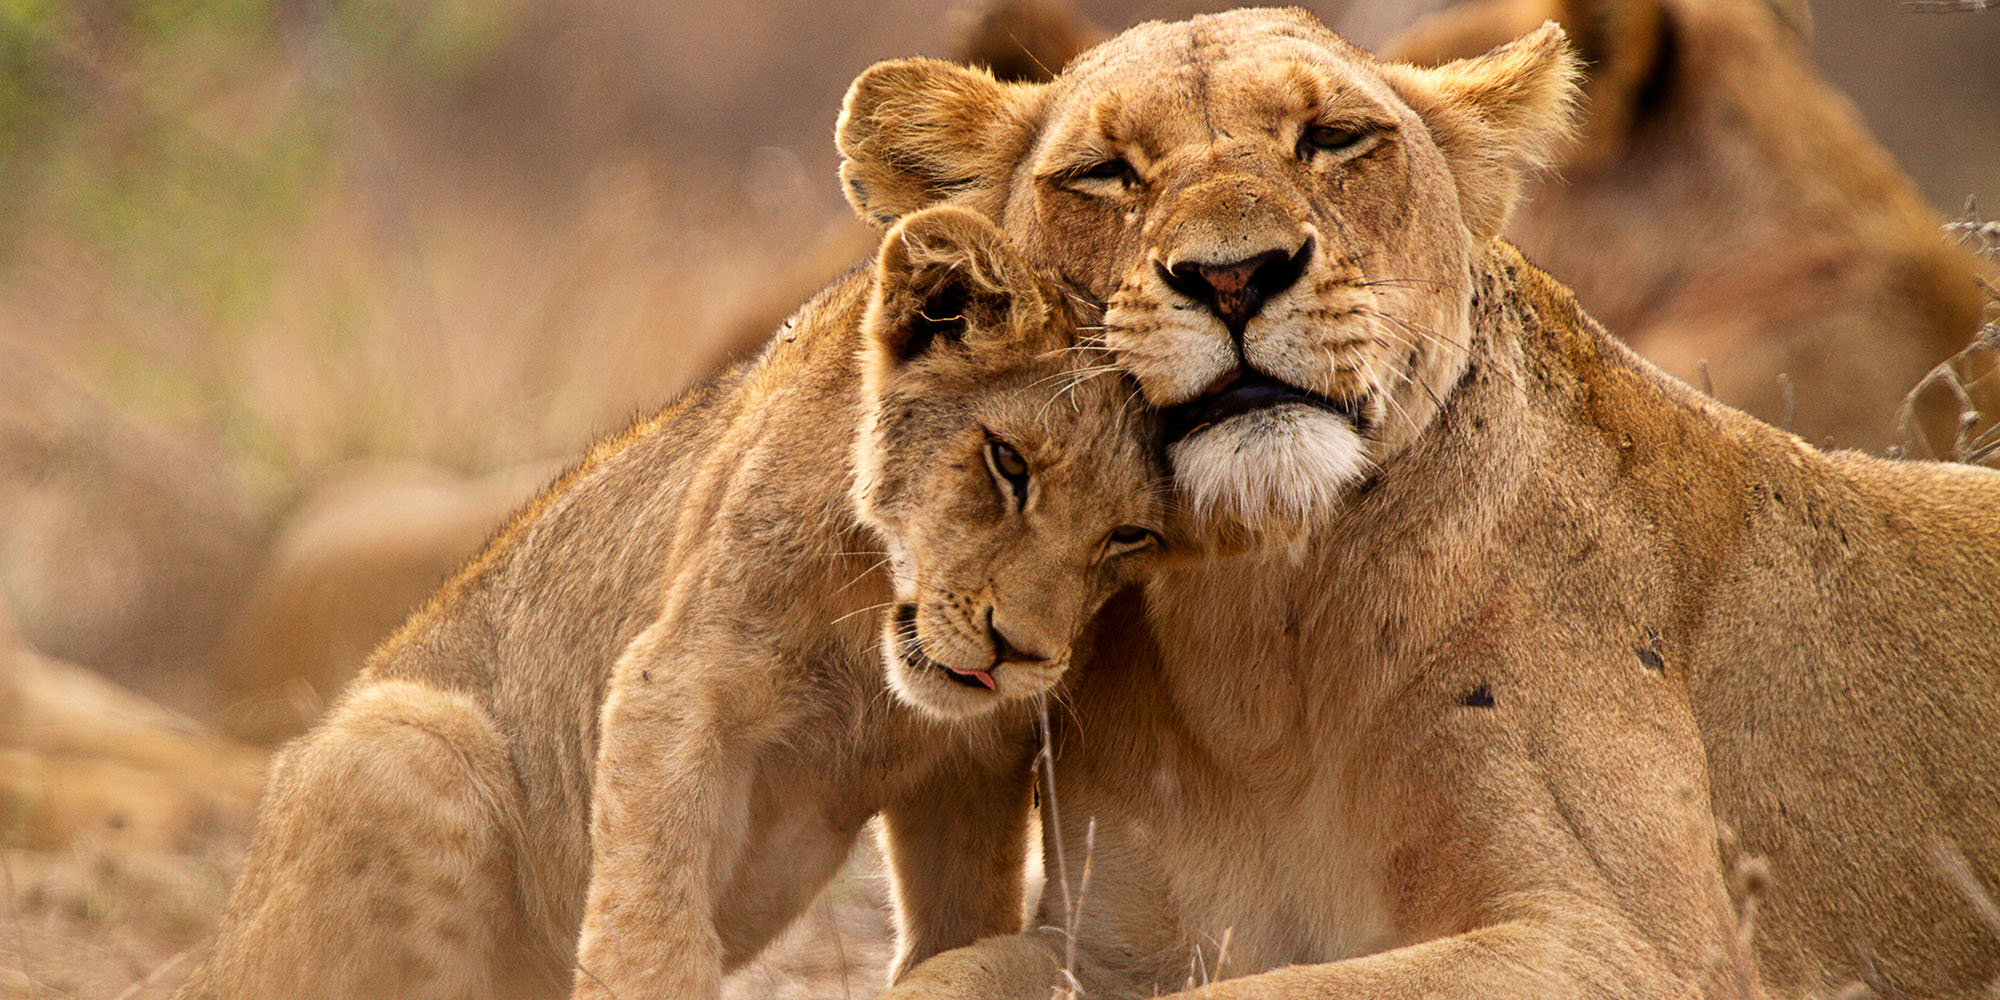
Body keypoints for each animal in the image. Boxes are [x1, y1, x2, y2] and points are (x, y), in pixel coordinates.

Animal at [171, 205, 1167, 1000]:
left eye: (1131, 537)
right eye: (1008, 463)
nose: (1019, 654)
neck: (874, 654)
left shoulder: (973, 765)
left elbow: (961, 926)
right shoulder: (677, 686)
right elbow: (652, 924)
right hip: (408, 742)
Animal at [836, 9, 2000, 999]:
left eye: (1334, 139)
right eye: (1105, 172)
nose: (1232, 276)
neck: (1254, 644)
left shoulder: (1634, 944)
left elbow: (1272, 990)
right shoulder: (1111, 943)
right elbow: (943, 973)